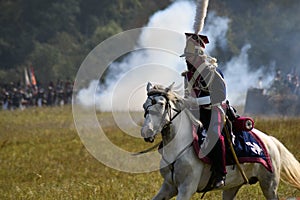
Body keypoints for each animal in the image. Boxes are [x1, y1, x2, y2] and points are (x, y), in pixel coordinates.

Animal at [141, 82, 300, 199]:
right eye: (144, 106)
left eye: (161, 104)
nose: (146, 132)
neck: (178, 148)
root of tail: (270, 141)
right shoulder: (169, 187)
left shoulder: (186, 189)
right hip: (233, 186)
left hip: (269, 186)